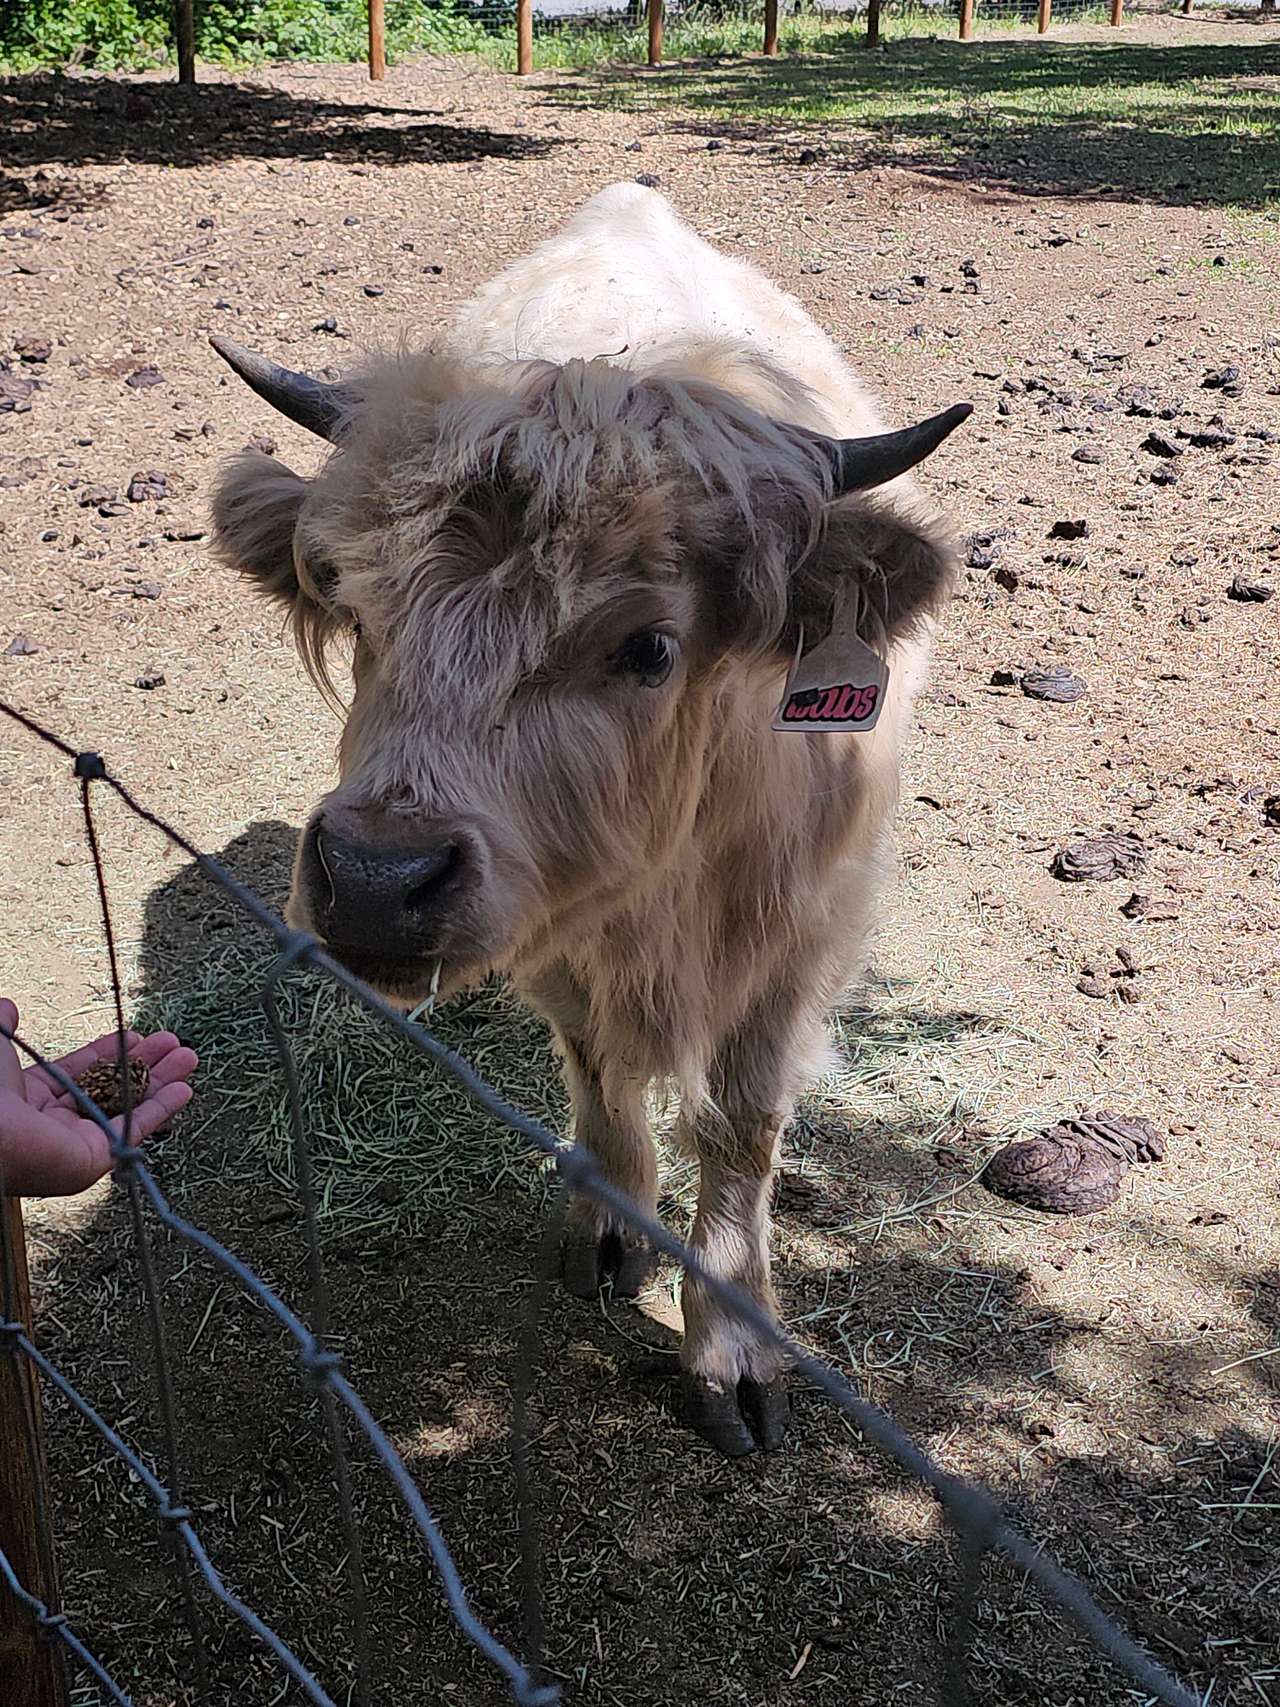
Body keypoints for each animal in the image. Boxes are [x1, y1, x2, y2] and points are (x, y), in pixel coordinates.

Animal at [210, 183, 968, 1456]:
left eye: (647, 646)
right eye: (356, 611)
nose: (372, 878)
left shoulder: (799, 937)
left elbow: (742, 1126)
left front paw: (733, 1346)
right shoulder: (557, 932)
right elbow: (598, 1068)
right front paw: (612, 1224)